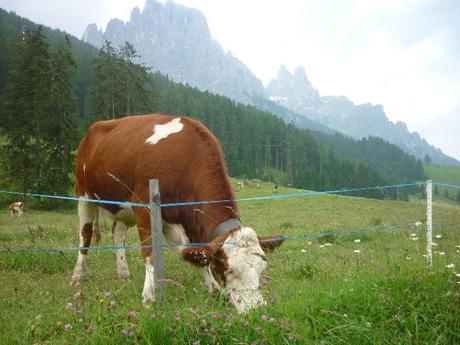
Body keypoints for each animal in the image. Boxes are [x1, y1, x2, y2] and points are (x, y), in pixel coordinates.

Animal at [71, 114, 284, 314]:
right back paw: (78, 275)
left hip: (122, 208)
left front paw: (213, 289)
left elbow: (200, 253)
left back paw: (123, 272)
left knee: (118, 234)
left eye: (262, 267)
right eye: (230, 270)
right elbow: (149, 253)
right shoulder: (144, 208)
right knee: (85, 236)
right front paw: (148, 296)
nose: (256, 309)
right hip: (83, 194)